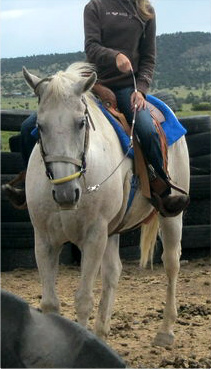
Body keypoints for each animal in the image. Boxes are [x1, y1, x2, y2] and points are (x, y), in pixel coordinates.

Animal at [22, 61, 190, 346]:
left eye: (81, 123)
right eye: (40, 126)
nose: (65, 194)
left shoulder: (94, 236)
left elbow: (83, 300)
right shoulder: (44, 240)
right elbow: (50, 304)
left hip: (170, 216)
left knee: (171, 263)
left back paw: (166, 330)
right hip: (112, 231)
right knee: (113, 272)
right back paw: (102, 332)